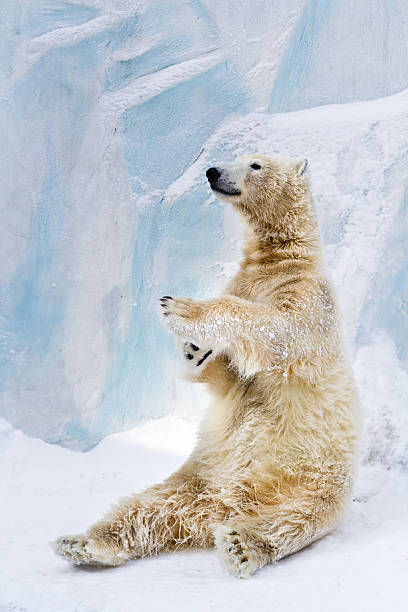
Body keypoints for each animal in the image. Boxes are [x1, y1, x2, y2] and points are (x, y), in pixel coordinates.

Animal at [55, 154, 360, 580]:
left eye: (255, 163)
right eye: (239, 158)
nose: (213, 172)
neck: (280, 259)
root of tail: (227, 504)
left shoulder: (309, 301)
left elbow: (276, 330)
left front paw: (179, 308)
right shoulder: (251, 283)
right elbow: (227, 378)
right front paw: (195, 349)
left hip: (312, 488)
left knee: (290, 521)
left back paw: (240, 545)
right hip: (196, 480)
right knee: (148, 508)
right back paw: (83, 543)